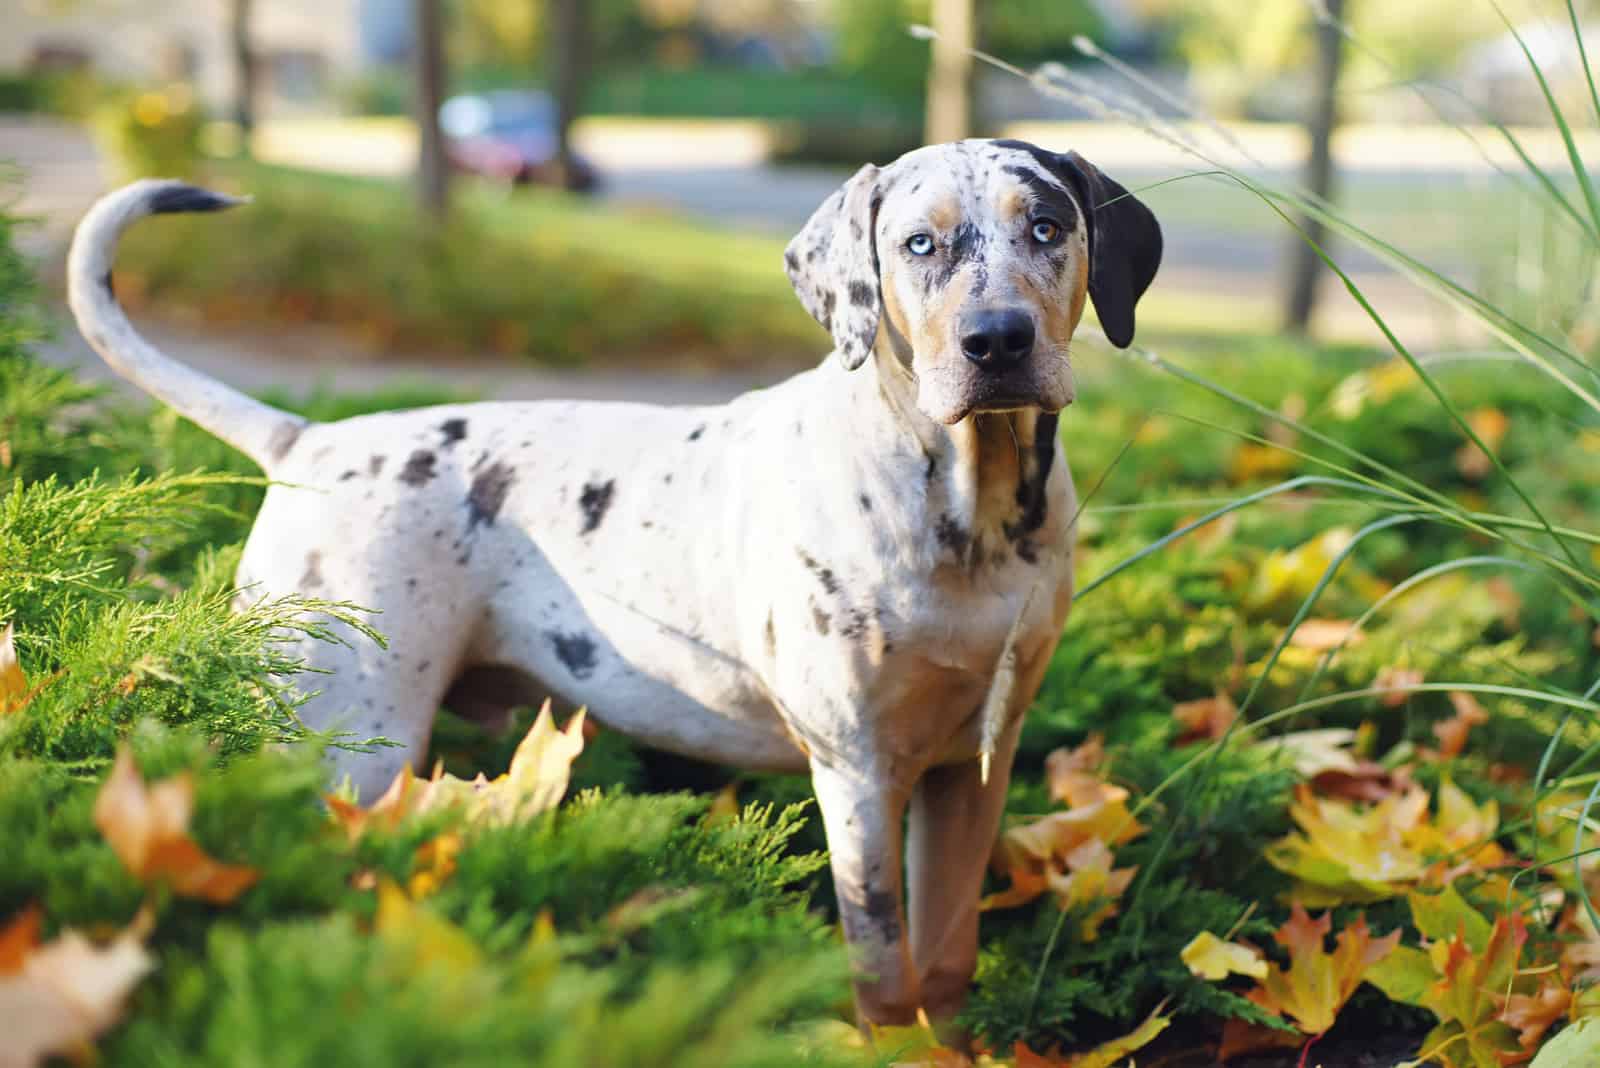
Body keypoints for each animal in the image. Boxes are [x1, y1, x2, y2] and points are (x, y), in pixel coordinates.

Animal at [68, 141, 1164, 1023]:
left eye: (1047, 226)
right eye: (919, 246)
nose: (998, 341)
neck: (974, 511)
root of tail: (308, 442)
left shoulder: (972, 763)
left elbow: (945, 958)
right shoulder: (857, 772)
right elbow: (883, 973)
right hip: (345, 737)